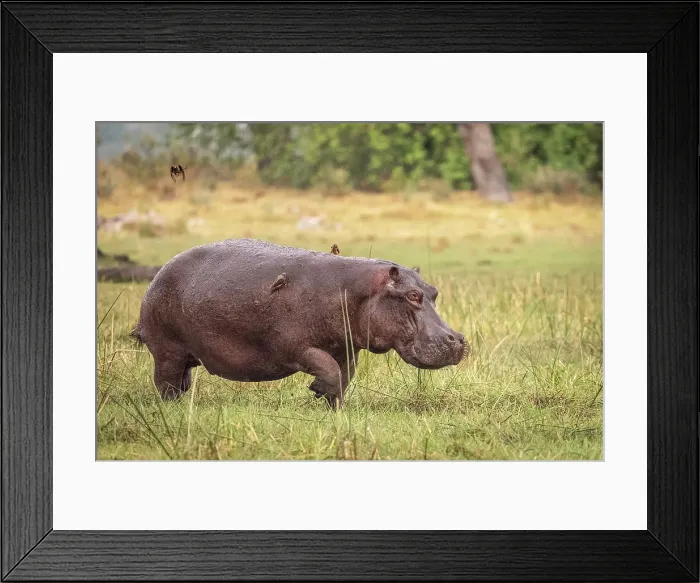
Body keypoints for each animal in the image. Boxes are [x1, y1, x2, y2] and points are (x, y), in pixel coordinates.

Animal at [131, 238, 469, 408]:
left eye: (433, 292)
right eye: (412, 295)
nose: (458, 339)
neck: (355, 290)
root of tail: (159, 273)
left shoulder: (346, 348)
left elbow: (343, 377)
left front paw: (333, 407)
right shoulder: (295, 347)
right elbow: (327, 369)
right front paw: (318, 390)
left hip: (185, 355)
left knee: (182, 380)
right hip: (167, 351)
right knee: (165, 382)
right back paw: (172, 408)